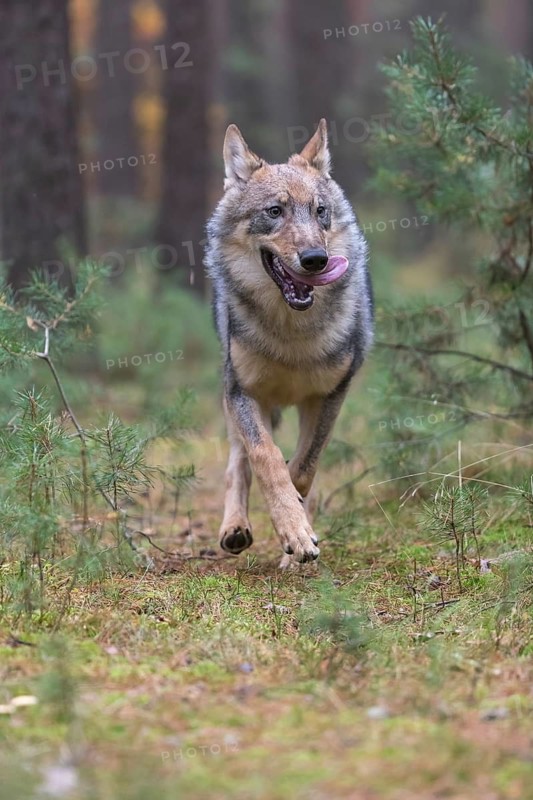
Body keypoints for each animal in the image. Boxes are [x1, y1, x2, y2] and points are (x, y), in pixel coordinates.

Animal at [205, 119, 373, 565]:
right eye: (274, 211)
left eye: (320, 211)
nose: (315, 259)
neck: (292, 335)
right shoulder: (243, 392)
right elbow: (265, 458)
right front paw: (291, 527)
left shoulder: (330, 396)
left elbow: (303, 469)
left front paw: (297, 536)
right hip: (233, 395)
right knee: (238, 461)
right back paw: (235, 528)